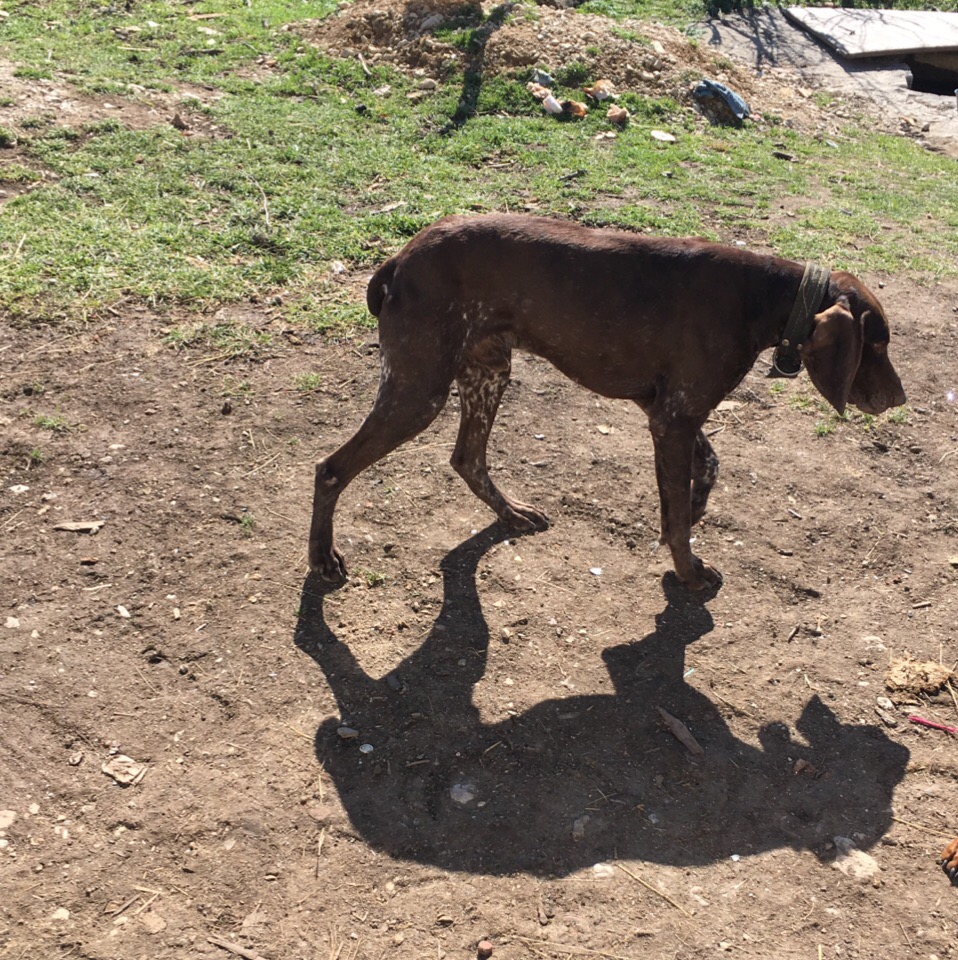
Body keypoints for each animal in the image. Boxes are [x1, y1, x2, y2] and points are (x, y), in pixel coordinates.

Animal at [308, 214, 905, 589]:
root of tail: (398, 260)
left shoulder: (667, 413)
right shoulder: (674, 418)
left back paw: (511, 513)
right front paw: (689, 572)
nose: (899, 400)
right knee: (331, 469)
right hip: (419, 391)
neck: (766, 298)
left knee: (468, 458)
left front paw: (692, 508)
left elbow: (707, 470)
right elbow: (683, 515)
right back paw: (322, 559)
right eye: (876, 345)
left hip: (487, 373)